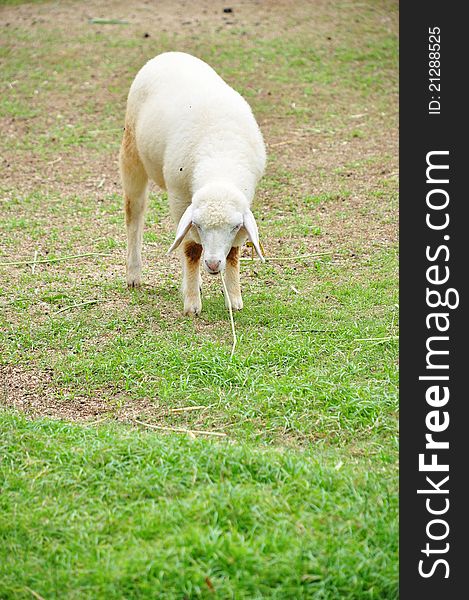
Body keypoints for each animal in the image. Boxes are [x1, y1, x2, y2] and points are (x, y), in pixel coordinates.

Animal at [119, 52, 266, 316]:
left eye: (234, 227)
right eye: (199, 224)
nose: (213, 264)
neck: (220, 161)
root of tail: (169, 54)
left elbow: (234, 252)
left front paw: (233, 298)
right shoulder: (179, 198)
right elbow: (191, 250)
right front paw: (191, 304)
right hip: (131, 152)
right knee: (134, 213)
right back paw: (134, 273)